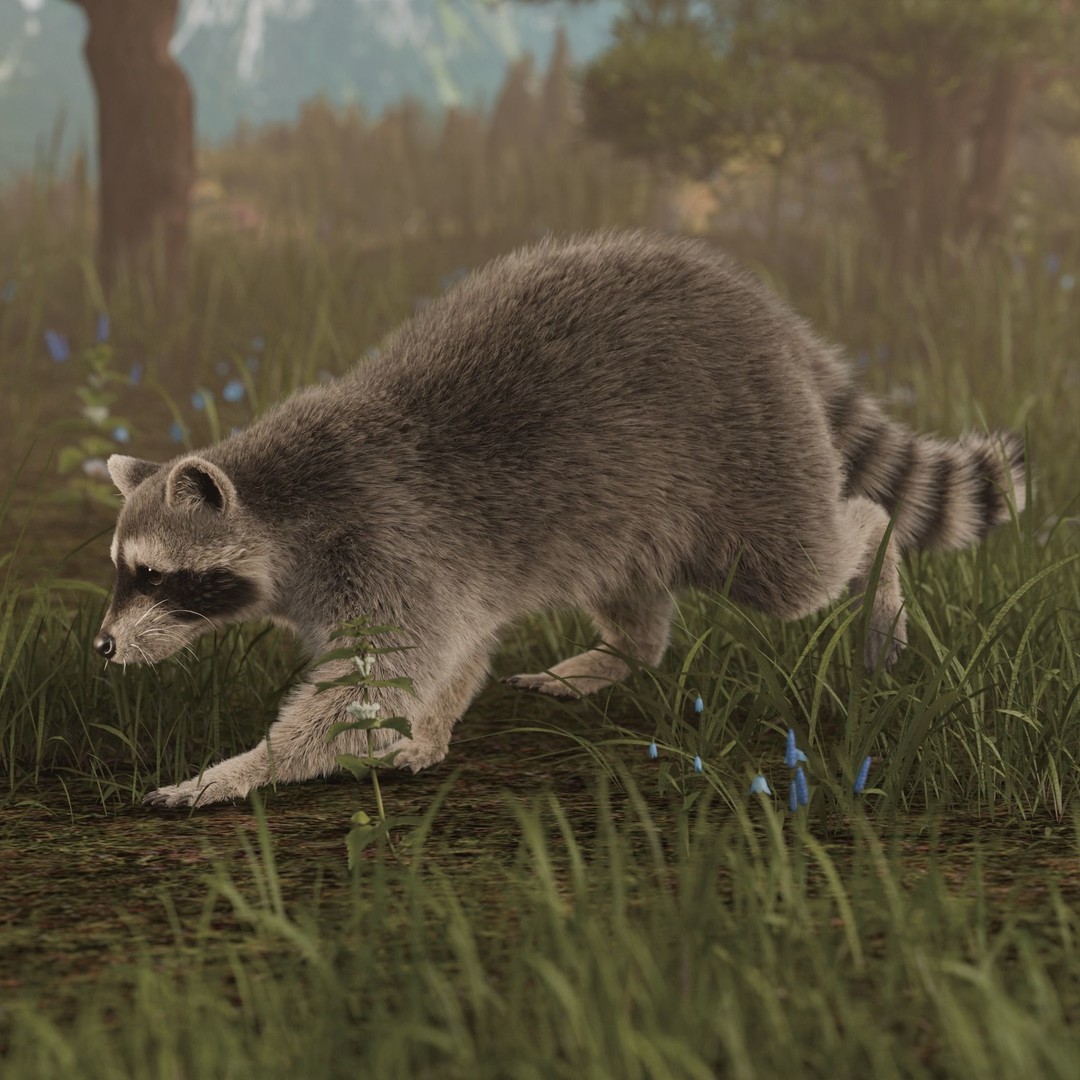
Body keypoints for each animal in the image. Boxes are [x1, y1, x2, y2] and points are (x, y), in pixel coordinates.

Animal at [95, 231, 1027, 808]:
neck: (280, 502)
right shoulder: (436, 574)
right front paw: (430, 728)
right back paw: (626, 652)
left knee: (804, 564)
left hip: (750, 453)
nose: (101, 647)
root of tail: (768, 313)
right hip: (630, 510)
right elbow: (455, 650)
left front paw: (242, 769)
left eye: (154, 575)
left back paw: (874, 560)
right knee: (635, 590)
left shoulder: (383, 542)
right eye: (122, 569)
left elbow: (368, 686)